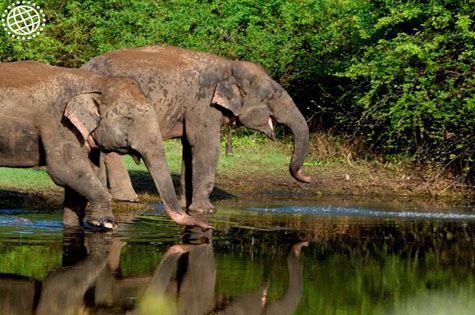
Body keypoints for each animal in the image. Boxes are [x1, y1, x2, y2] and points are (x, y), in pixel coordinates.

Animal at [0, 61, 210, 230]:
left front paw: (74, 226)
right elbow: (64, 170)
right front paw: (105, 223)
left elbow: (85, 176)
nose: (207, 227)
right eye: (128, 119)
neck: (96, 82)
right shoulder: (58, 124)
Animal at [83, 45, 310, 214]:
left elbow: (188, 148)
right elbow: (207, 147)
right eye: (271, 98)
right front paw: (206, 211)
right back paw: (129, 199)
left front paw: (187, 206)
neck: (229, 66)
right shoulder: (202, 104)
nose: (306, 178)